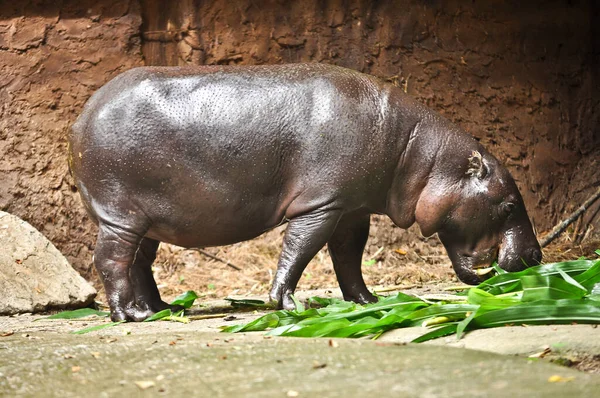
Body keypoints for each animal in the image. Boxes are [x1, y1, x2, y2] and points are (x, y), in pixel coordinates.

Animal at [68, 63, 540, 322]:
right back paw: (130, 315)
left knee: (140, 263)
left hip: (148, 218)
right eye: (509, 203)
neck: (421, 156)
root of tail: (80, 116)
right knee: (110, 262)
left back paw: (163, 308)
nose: (537, 256)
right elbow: (300, 248)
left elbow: (348, 256)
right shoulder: (322, 204)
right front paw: (289, 305)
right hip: (120, 216)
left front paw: (367, 302)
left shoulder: (351, 209)